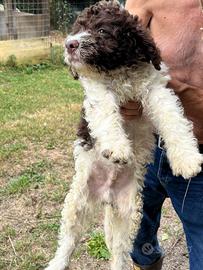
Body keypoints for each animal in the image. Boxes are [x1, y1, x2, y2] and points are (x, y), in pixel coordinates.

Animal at [44, 1, 203, 268]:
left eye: (102, 31)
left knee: (119, 250)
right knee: (68, 240)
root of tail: (106, 194)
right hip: (77, 201)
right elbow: (106, 112)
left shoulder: (155, 90)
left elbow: (173, 120)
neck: (119, 71)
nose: (70, 44)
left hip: (127, 212)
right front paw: (117, 147)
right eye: (78, 28)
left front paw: (187, 159)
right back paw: (57, 263)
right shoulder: (98, 91)